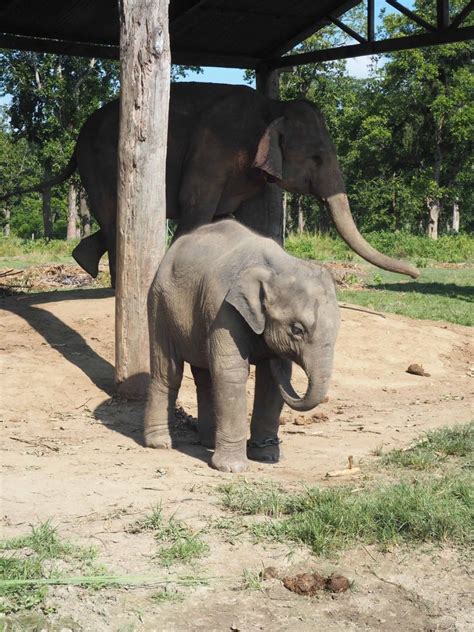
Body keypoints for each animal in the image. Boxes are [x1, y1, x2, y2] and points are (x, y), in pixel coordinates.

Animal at [3, 82, 418, 284]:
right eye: (316, 157)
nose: (414, 270)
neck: (272, 107)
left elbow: (247, 221)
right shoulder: (215, 148)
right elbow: (196, 207)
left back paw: (84, 261)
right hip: (101, 161)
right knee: (115, 215)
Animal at [145, 220, 340, 472]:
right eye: (297, 329)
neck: (276, 267)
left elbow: (270, 380)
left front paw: (266, 457)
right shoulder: (223, 309)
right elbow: (232, 372)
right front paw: (232, 468)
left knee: (205, 376)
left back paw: (208, 442)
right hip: (160, 303)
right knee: (168, 371)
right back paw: (160, 444)